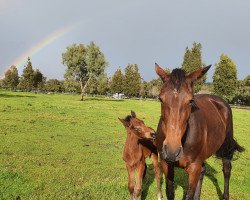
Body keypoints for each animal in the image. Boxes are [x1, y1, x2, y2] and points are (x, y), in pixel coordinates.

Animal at [154, 63, 244, 200]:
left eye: (190, 101)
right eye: (160, 99)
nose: (172, 151)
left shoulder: (193, 168)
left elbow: (189, 194)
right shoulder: (166, 164)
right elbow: (170, 192)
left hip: (226, 146)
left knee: (227, 169)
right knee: (203, 171)